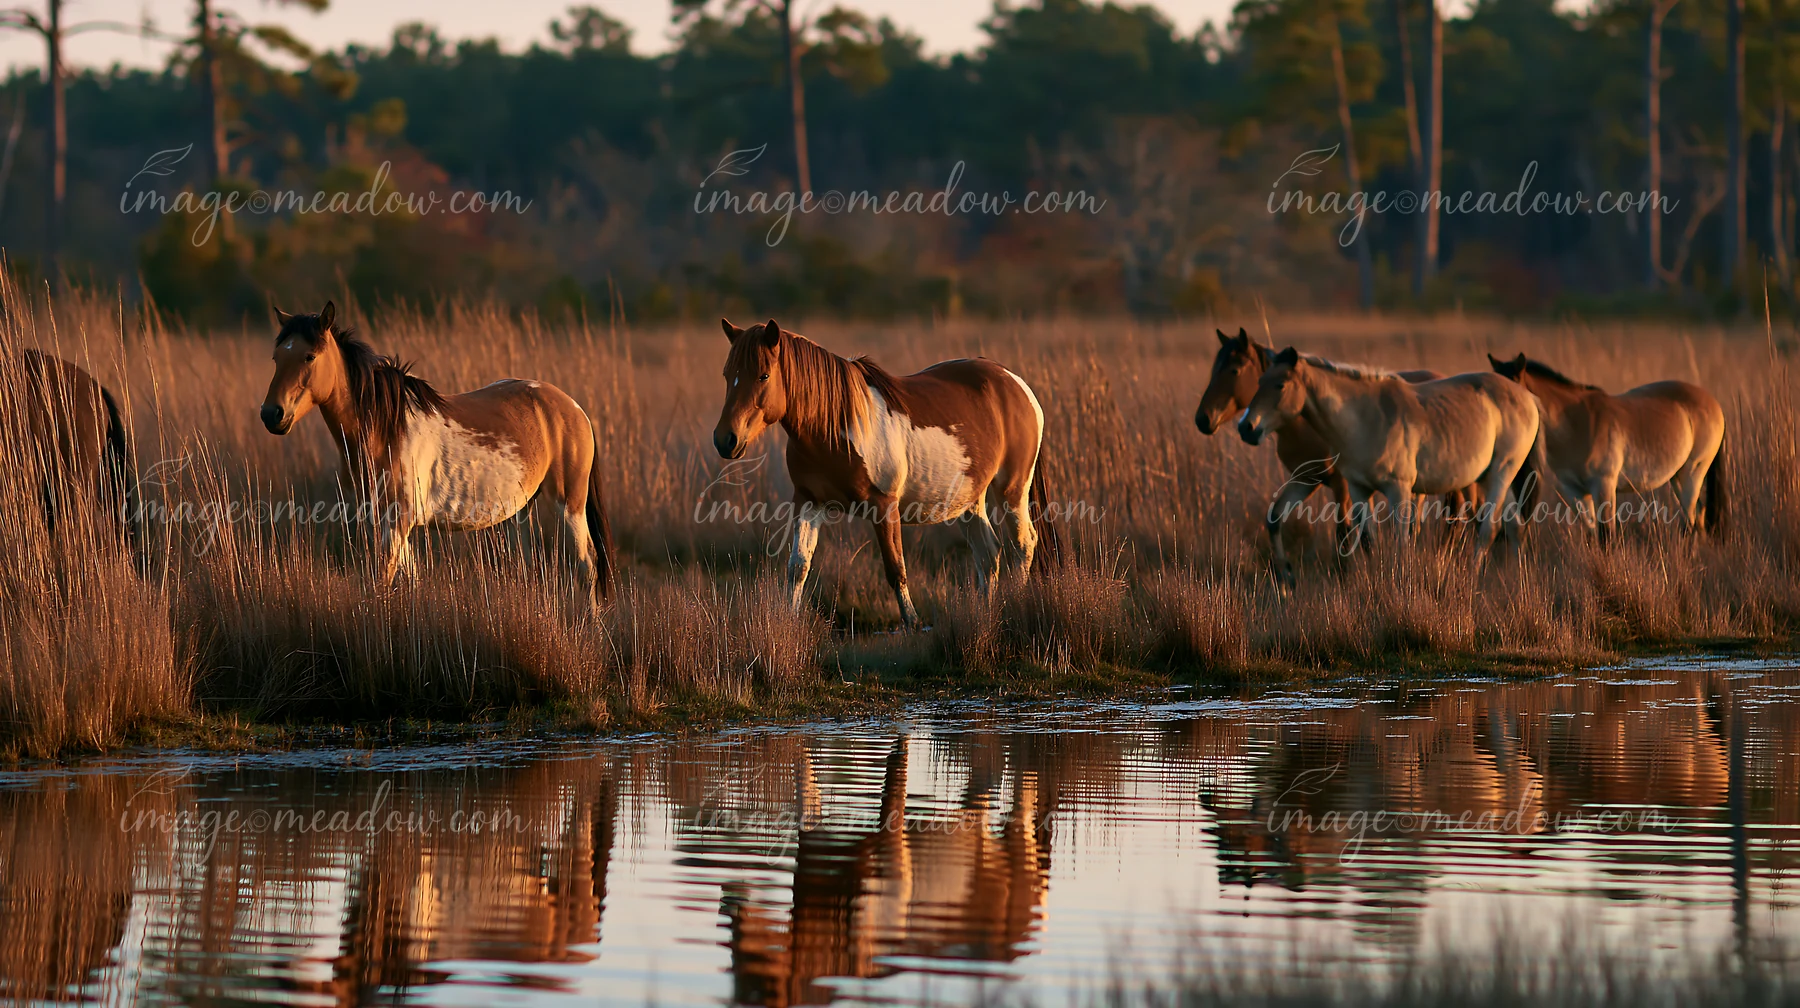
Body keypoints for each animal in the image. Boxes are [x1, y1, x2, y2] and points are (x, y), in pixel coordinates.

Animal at [260, 302, 614, 598]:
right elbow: (409, 579)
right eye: (276, 358)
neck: (387, 429)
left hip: (569, 505)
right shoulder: (385, 521)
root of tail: (573, 408)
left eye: (309, 356)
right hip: (523, 511)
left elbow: (382, 580)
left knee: (587, 565)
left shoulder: (397, 521)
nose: (271, 414)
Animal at [712, 318, 1050, 629]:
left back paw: (1014, 605)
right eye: (727, 375)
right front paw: (788, 623)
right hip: (968, 500)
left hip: (1011, 490)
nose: (725, 439)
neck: (836, 425)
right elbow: (798, 567)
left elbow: (895, 568)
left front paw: (912, 623)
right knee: (988, 554)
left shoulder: (884, 506)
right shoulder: (808, 502)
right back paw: (983, 617)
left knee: (1023, 544)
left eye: (763, 375)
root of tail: (1014, 382)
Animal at [1196, 328, 1475, 583]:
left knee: (1456, 517)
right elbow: (1274, 519)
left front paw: (1346, 581)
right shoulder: (1306, 481)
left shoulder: (1342, 485)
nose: (1202, 419)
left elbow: (1345, 534)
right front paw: (1287, 580)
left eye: (1234, 370)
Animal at [1238, 347, 1542, 557]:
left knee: (1489, 530)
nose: (1246, 427)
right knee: (1513, 527)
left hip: (1502, 472)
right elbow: (1369, 542)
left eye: (1280, 385)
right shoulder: (1359, 489)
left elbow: (1401, 543)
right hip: (1486, 478)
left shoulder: (1399, 489)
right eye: (1260, 381)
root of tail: (1527, 398)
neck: (1365, 418)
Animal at [1488, 352, 1725, 543]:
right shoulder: (1574, 491)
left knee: (1690, 523)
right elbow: (1592, 535)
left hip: (1692, 474)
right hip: (1677, 477)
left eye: (1512, 391)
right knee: (1698, 517)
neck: (1578, 423)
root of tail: (1713, 402)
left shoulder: (1604, 487)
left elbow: (1607, 537)